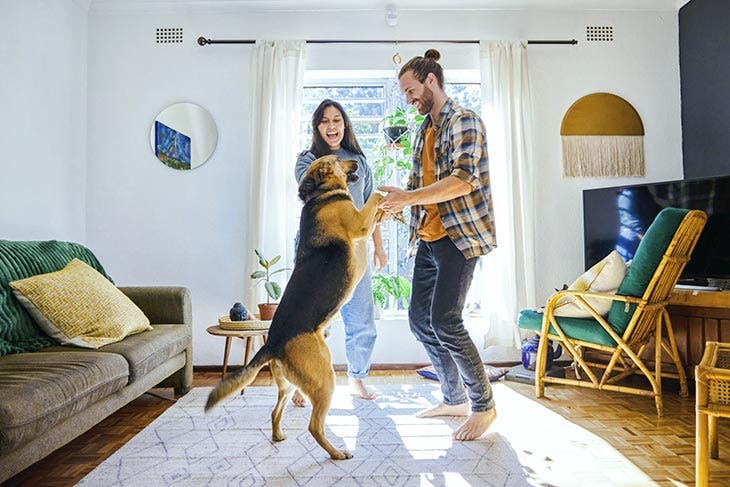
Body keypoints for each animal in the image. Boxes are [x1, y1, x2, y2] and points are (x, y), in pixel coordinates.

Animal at [205, 155, 382, 462]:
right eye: (338, 159)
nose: (359, 161)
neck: (320, 195)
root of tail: (272, 343)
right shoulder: (360, 222)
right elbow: (376, 198)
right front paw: (387, 192)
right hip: (325, 380)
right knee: (314, 426)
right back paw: (337, 453)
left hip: (288, 386)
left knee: (275, 411)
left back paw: (278, 436)